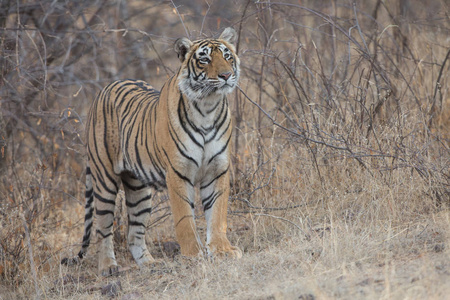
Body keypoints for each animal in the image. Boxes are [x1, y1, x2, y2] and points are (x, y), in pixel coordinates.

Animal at [62, 27, 243, 276]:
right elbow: (184, 219)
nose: (226, 75)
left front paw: (222, 250)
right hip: (104, 180)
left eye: (227, 56)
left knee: (133, 233)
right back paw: (108, 267)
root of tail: (104, 89)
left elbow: (217, 215)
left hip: (139, 189)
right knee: (103, 229)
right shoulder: (178, 173)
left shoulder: (217, 170)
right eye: (205, 59)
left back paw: (150, 264)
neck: (208, 106)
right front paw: (193, 255)